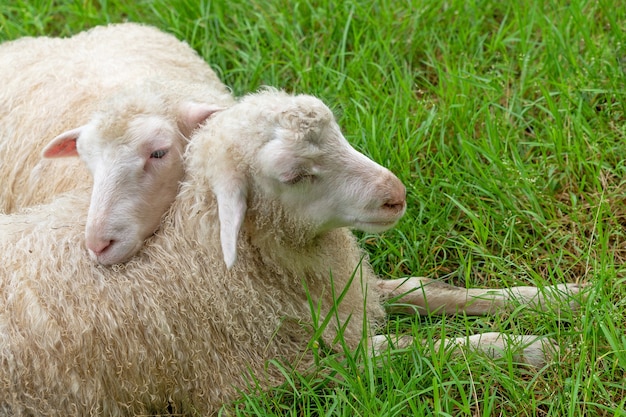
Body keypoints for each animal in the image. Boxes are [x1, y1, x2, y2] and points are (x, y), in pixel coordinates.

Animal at [0, 89, 580, 414]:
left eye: (338, 132)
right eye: (295, 175)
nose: (395, 194)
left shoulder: (349, 293)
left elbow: (430, 291)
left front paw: (558, 296)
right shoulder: (286, 371)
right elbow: (416, 351)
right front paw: (525, 347)